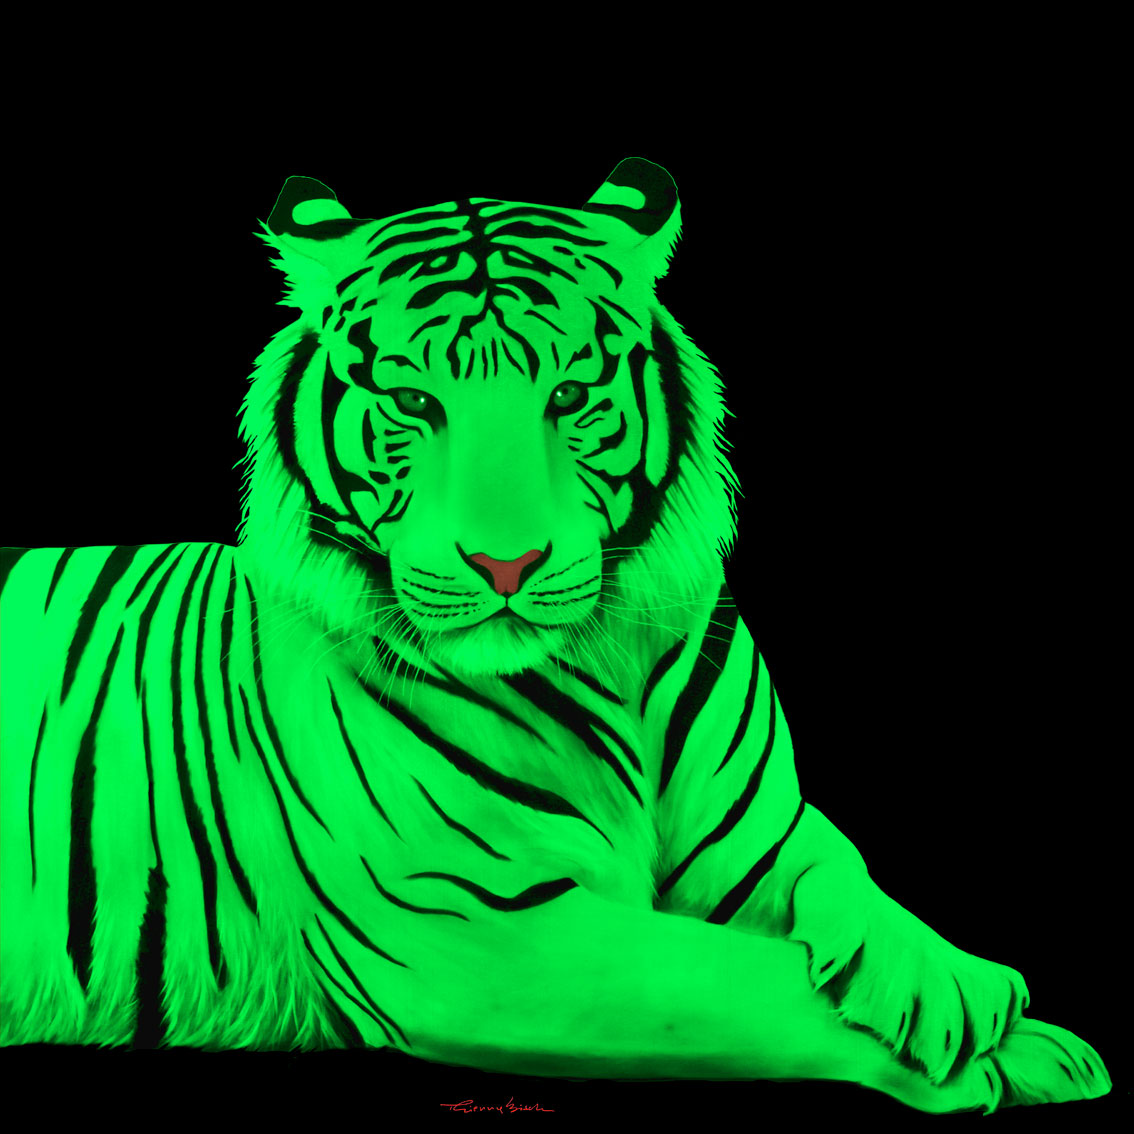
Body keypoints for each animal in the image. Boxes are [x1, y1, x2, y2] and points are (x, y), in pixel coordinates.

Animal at [0, 158, 1112, 1114]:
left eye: (570, 395)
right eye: (415, 400)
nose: (507, 566)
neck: (612, 666)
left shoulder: (754, 838)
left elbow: (840, 867)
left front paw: (956, 985)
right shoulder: (469, 935)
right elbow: (741, 977)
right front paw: (986, 1052)